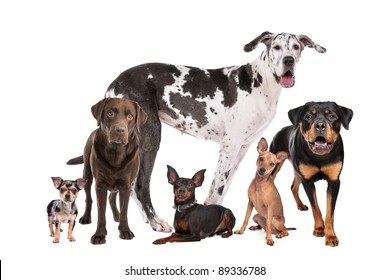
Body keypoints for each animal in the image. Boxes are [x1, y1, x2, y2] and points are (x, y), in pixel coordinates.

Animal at [67, 98, 146, 245]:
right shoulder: (100, 186)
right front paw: (100, 235)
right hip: (87, 174)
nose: (120, 130)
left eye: (130, 116)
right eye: (110, 113)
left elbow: (124, 211)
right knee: (89, 198)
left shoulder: (126, 186)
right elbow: (101, 214)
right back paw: (86, 217)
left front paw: (125, 230)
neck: (116, 153)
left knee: (112, 198)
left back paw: (116, 215)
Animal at [270, 100, 352, 245]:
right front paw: (319, 229)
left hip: (296, 169)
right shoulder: (307, 181)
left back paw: (300, 205)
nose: (320, 125)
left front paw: (331, 236)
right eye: (308, 116)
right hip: (274, 164)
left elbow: (330, 212)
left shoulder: (334, 181)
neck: (319, 156)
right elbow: (316, 208)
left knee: (293, 186)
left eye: (332, 116)